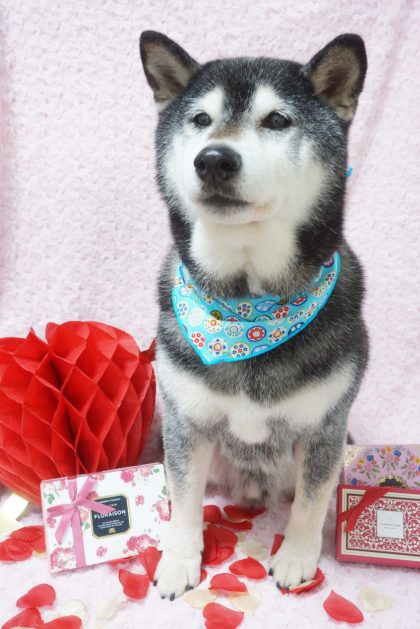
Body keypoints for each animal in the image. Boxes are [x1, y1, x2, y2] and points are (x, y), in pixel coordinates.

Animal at [139, 30, 368, 599]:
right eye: (201, 119)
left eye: (278, 120)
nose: (214, 159)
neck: (248, 310)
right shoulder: (186, 422)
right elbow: (185, 502)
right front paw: (179, 560)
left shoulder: (326, 428)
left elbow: (310, 502)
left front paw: (297, 558)